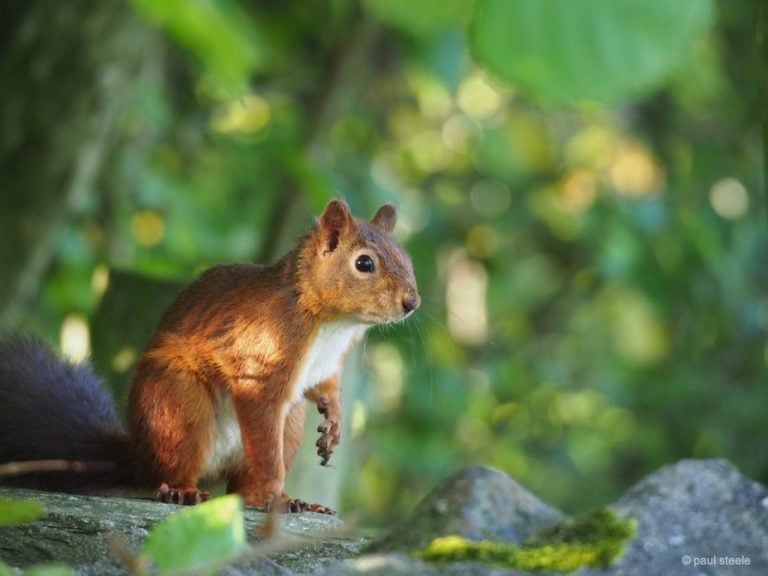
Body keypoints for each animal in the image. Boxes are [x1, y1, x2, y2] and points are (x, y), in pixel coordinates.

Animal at [0, 201, 420, 512]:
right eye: (364, 263)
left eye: (407, 259)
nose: (412, 302)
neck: (332, 324)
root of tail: (138, 455)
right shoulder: (262, 364)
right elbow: (265, 435)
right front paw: (277, 493)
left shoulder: (325, 367)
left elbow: (326, 388)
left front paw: (334, 421)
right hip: (179, 407)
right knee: (176, 469)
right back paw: (186, 491)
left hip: (290, 421)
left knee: (241, 488)